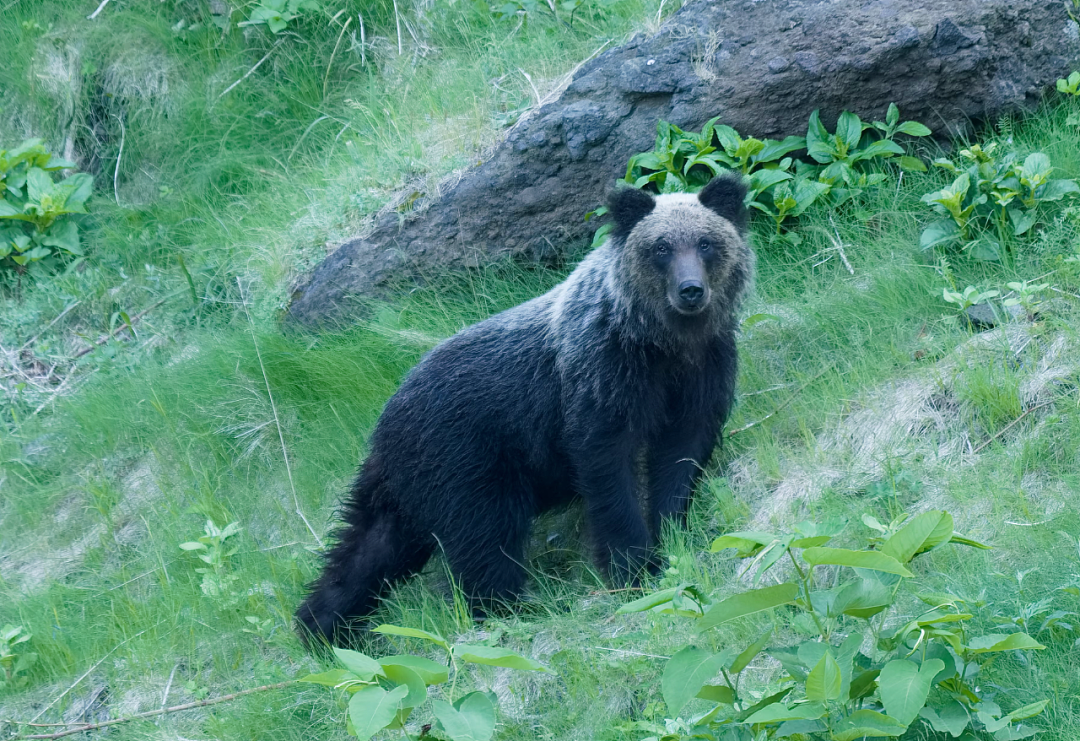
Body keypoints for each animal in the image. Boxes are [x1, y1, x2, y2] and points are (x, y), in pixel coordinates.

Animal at [296, 173, 754, 645]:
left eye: (706, 242)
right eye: (660, 247)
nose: (691, 291)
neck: (661, 344)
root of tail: (384, 420)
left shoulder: (701, 372)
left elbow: (681, 458)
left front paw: (671, 539)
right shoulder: (601, 378)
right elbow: (609, 471)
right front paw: (632, 566)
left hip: (408, 486)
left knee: (369, 547)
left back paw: (325, 627)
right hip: (467, 462)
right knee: (484, 540)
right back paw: (508, 609)